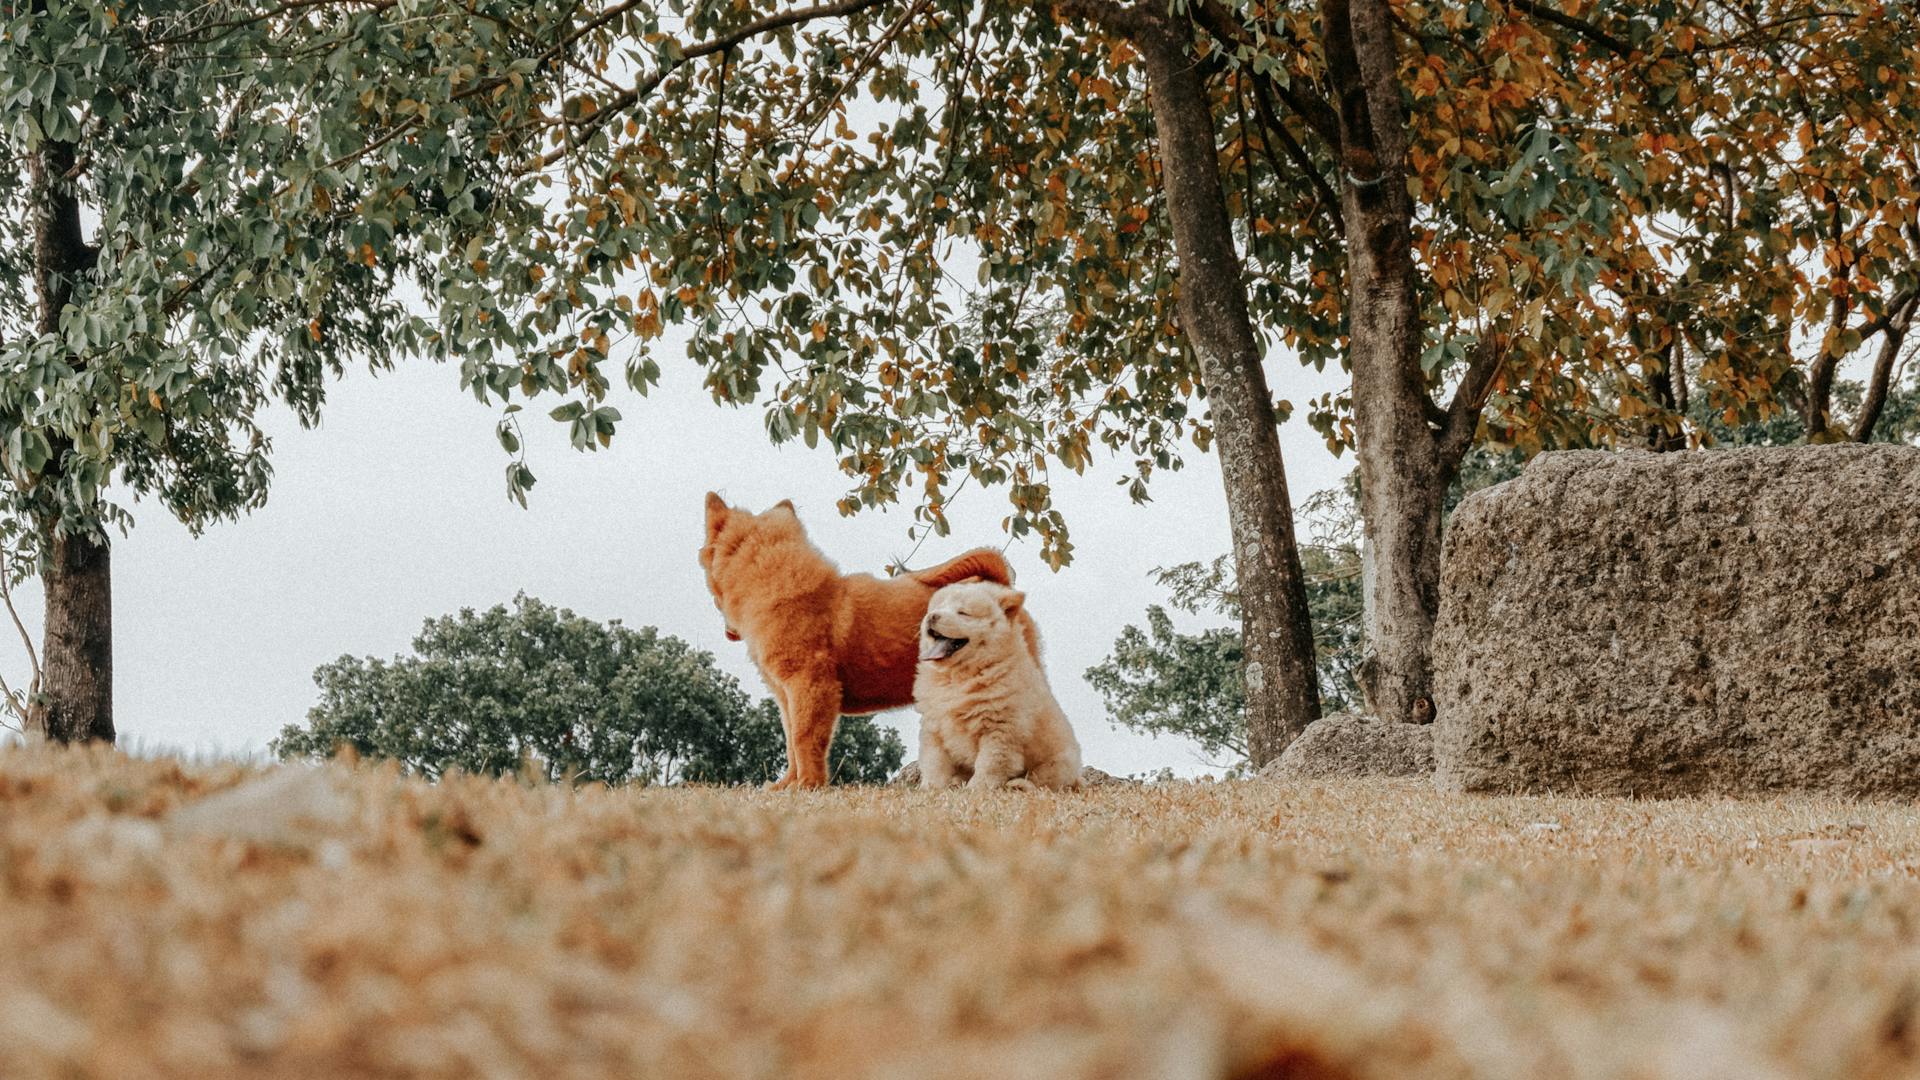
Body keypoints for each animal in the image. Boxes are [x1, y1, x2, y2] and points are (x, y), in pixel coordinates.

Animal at [702, 491, 1029, 787]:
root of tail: (999, 590)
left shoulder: (810, 686)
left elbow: (804, 739)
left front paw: (808, 785)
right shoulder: (785, 696)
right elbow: (791, 742)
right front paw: (786, 785)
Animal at [910, 580, 1082, 791]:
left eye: (963, 613)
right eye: (937, 607)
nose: (932, 616)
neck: (956, 677)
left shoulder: (999, 729)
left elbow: (989, 764)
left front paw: (976, 789)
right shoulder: (934, 727)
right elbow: (934, 762)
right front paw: (930, 788)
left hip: (1057, 763)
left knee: (1043, 782)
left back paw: (1017, 785)